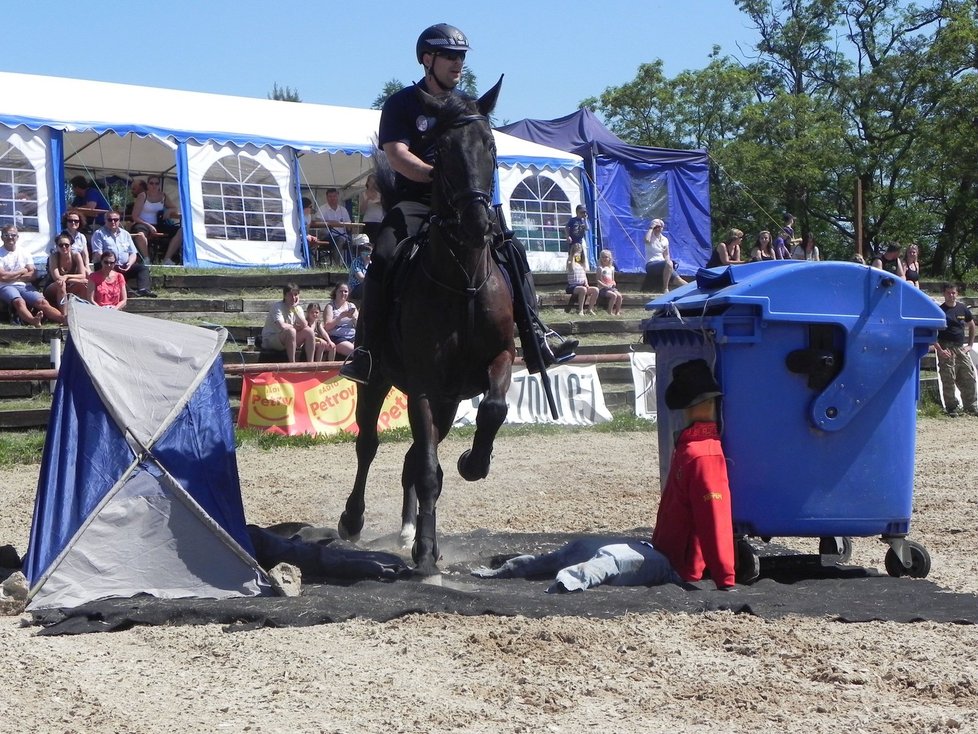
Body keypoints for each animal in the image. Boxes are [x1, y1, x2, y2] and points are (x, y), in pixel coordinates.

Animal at [338, 79, 510, 576]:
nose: (477, 224)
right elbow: (428, 469)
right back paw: (353, 521)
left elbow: (494, 410)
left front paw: (474, 462)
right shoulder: (423, 384)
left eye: (490, 146)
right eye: (444, 150)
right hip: (377, 381)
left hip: (449, 401)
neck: (463, 278)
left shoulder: (498, 358)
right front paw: (427, 554)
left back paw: (408, 528)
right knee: (370, 445)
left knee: (413, 457)